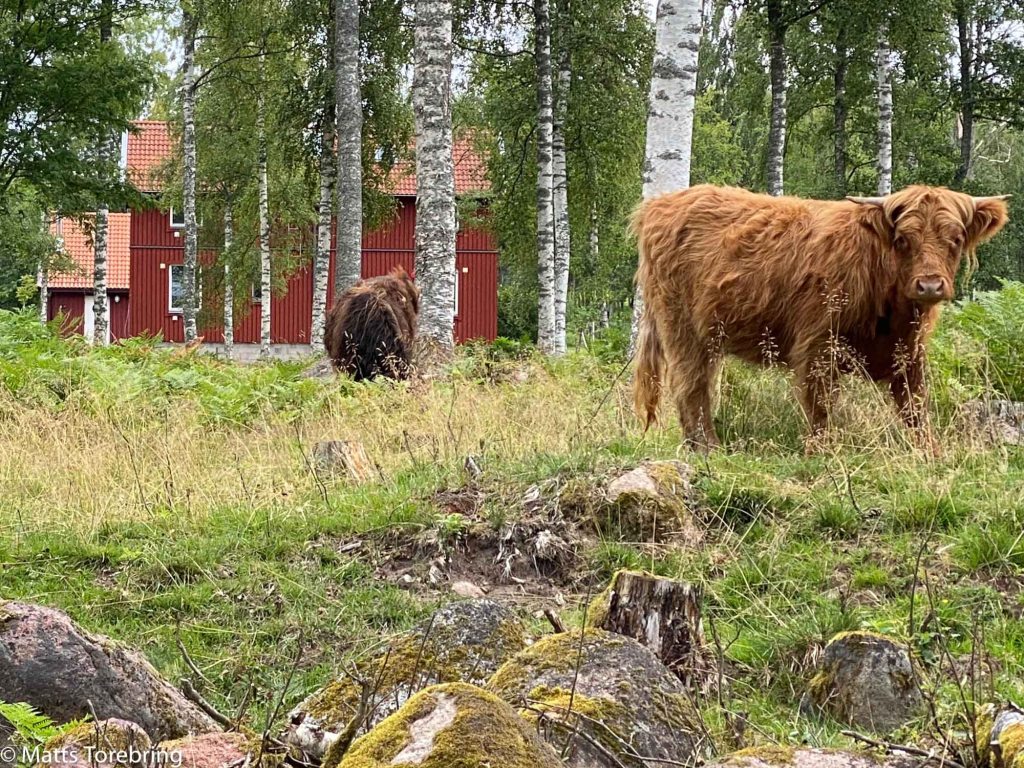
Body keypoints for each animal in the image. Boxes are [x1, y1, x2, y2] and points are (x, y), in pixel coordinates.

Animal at [631, 184, 1009, 449]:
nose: (930, 285)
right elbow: (821, 404)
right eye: (903, 239)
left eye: (956, 239)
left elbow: (915, 406)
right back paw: (707, 447)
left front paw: (929, 453)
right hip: (682, 327)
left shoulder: (909, 352)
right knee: (691, 385)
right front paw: (822, 451)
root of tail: (658, 206)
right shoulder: (817, 342)